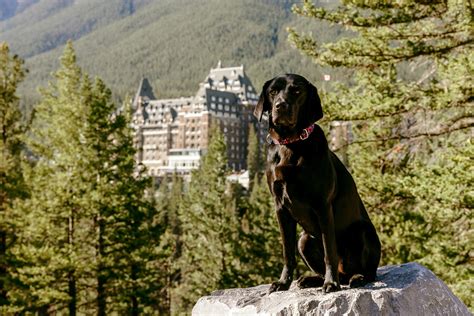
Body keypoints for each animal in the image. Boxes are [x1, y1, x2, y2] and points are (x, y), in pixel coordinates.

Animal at [252, 74, 382, 294]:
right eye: (272, 91)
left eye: (297, 91)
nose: (281, 105)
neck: (291, 143)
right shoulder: (280, 208)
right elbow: (287, 253)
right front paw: (283, 282)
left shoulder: (322, 206)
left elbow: (330, 251)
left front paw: (331, 284)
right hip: (304, 240)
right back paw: (311, 279)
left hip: (363, 232)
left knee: (367, 272)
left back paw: (355, 278)